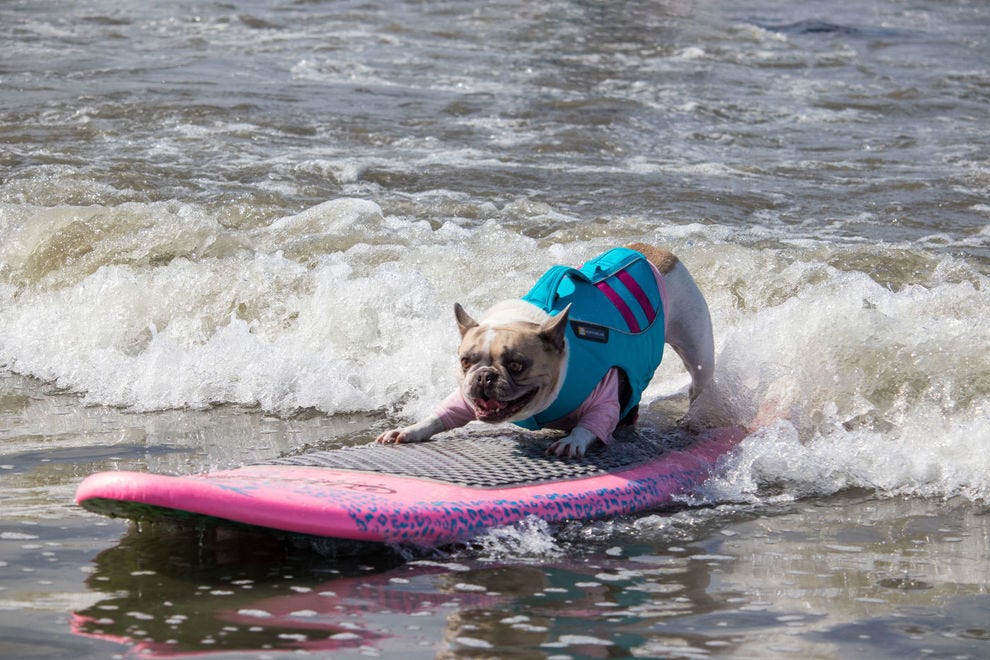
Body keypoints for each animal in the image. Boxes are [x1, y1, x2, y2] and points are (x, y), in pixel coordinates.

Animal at [378, 245, 712, 456]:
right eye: (466, 362)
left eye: (516, 365)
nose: (484, 377)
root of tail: (653, 252)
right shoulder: (464, 395)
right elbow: (445, 412)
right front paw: (411, 429)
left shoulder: (605, 391)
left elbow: (594, 422)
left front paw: (574, 441)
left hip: (697, 349)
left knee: (699, 383)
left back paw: (693, 417)